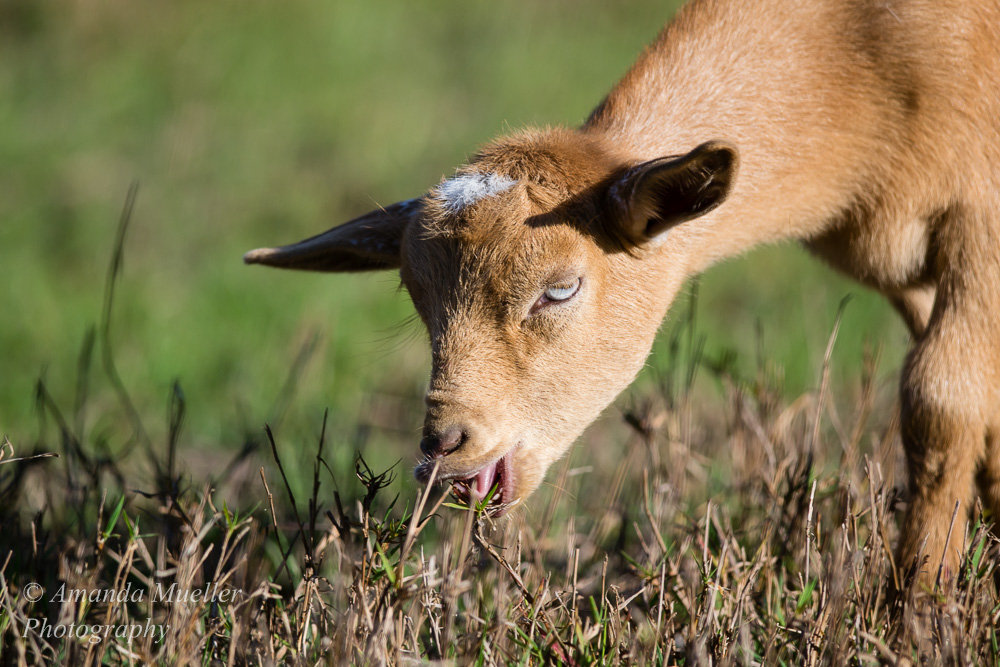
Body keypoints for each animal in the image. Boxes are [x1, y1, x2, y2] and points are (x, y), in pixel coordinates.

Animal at [248, 0, 1000, 584]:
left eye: (560, 289)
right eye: (415, 293)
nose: (446, 447)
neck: (856, 57)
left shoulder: (981, 225)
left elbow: (939, 398)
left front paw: (919, 607)